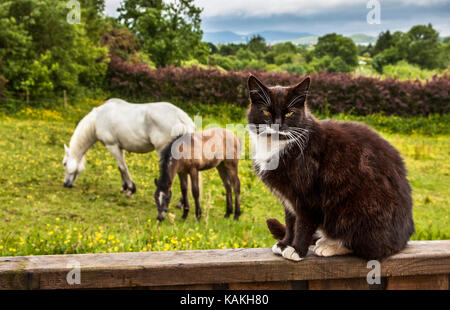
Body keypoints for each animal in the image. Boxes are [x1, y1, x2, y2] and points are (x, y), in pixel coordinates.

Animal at [62, 98, 195, 197]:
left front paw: (131, 189)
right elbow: (121, 167)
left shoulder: (112, 146)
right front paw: (124, 187)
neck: (97, 119)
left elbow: (123, 167)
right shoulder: (120, 147)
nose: (65, 184)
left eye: (64, 164)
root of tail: (180, 116)